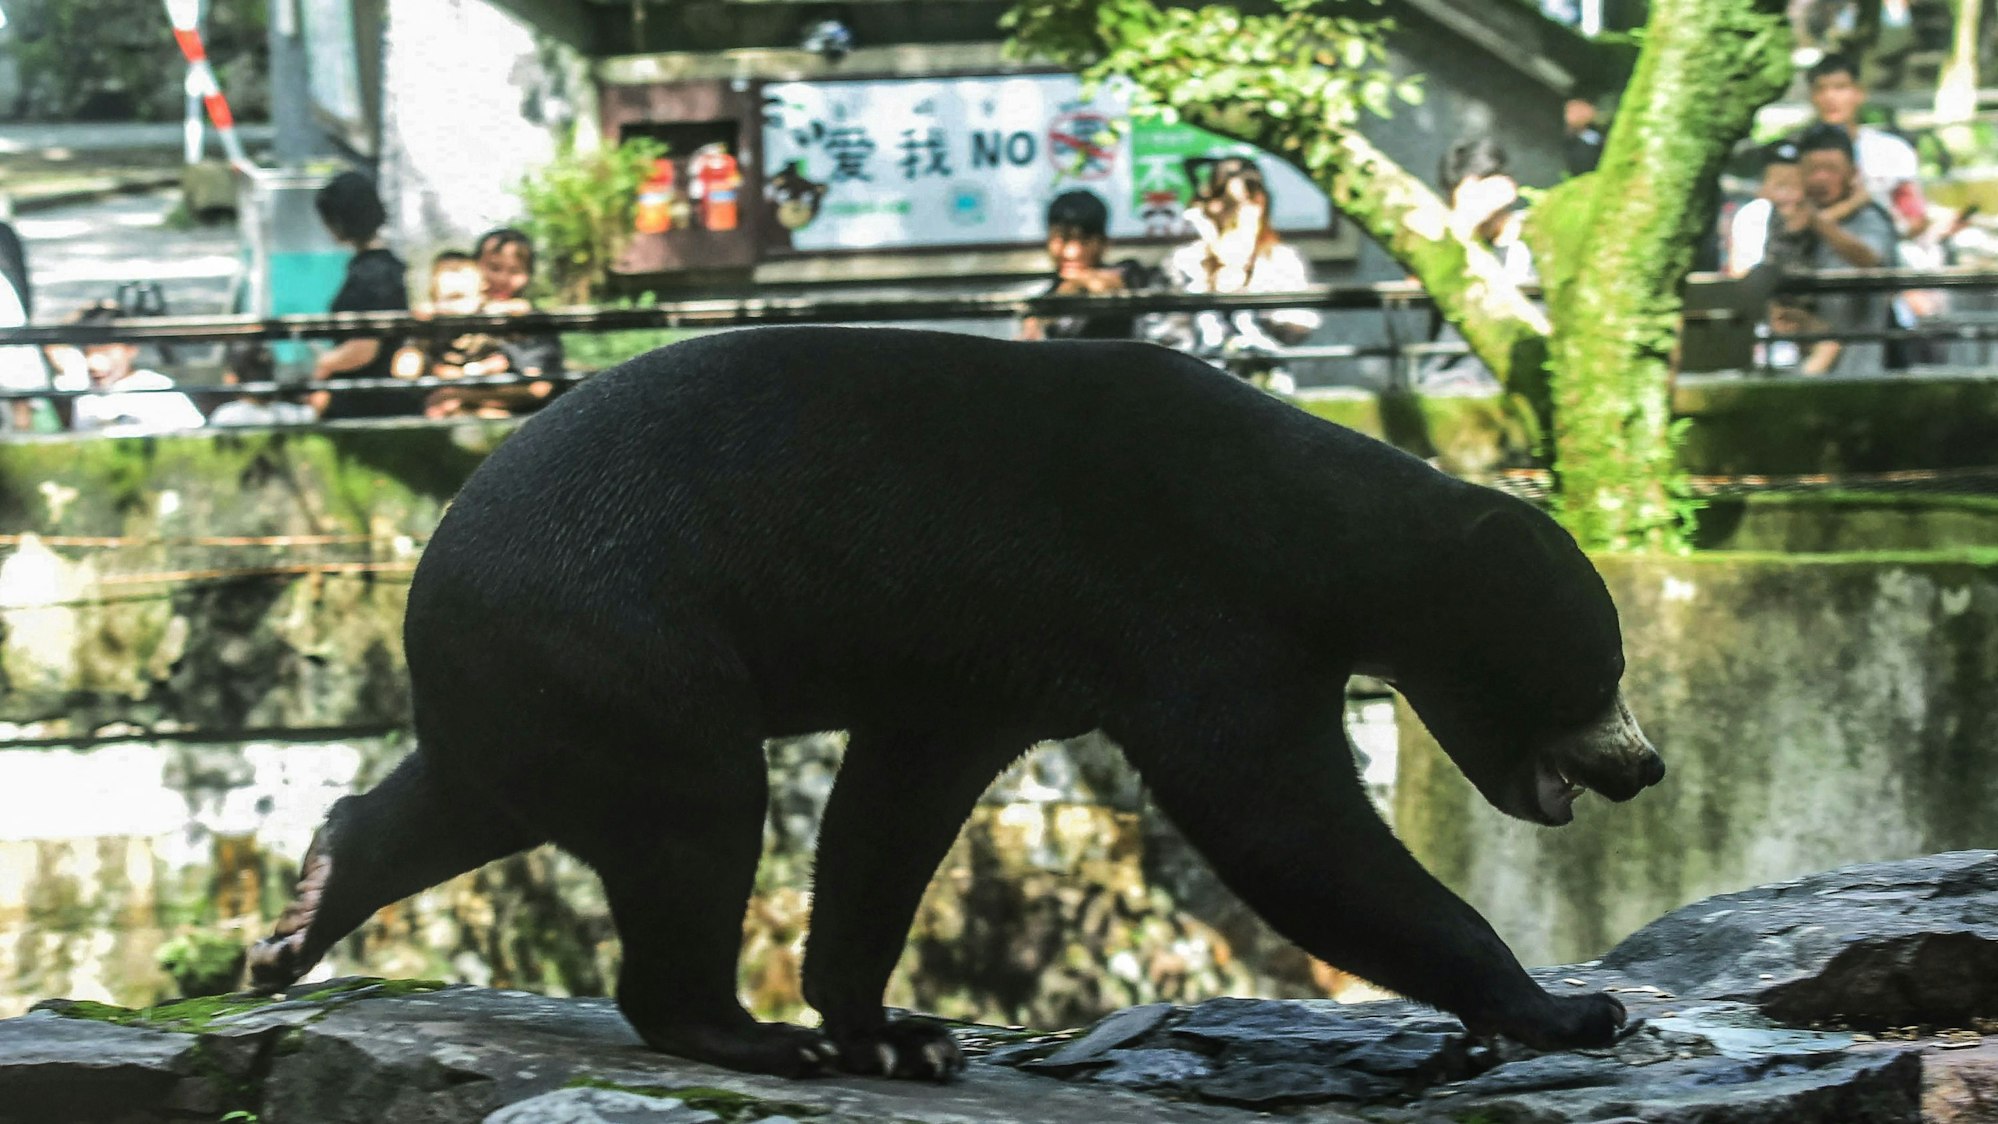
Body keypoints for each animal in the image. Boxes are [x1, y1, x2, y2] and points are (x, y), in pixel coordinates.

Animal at [248, 325, 1665, 1081]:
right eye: (1599, 672)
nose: (1644, 764)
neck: (1321, 532)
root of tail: (429, 566)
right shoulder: (1196, 612)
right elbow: (1284, 822)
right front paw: (1566, 1004)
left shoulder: (983, 663)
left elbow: (898, 803)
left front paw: (894, 1027)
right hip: (627, 635)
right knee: (695, 814)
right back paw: (741, 1031)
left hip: (539, 680)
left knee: (466, 795)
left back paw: (305, 906)